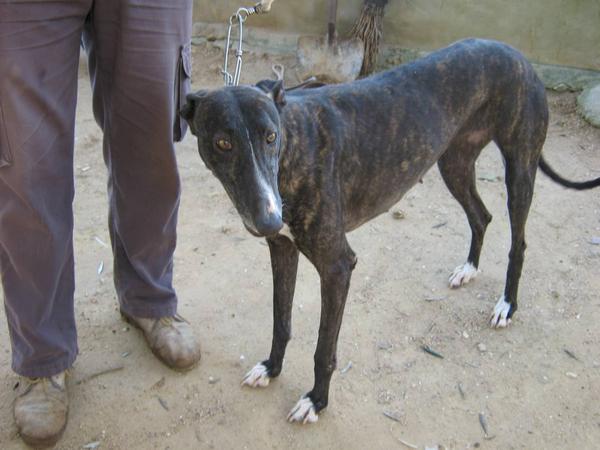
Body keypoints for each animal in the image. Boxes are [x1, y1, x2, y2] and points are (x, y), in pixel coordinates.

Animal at [182, 39, 600, 426]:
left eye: (270, 137)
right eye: (222, 142)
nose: (268, 220)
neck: (294, 144)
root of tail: (515, 52)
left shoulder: (337, 266)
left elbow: (323, 349)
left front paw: (316, 401)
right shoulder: (282, 249)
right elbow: (280, 321)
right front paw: (271, 367)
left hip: (520, 166)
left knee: (519, 240)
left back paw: (507, 305)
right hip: (455, 162)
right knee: (481, 216)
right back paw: (468, 268)